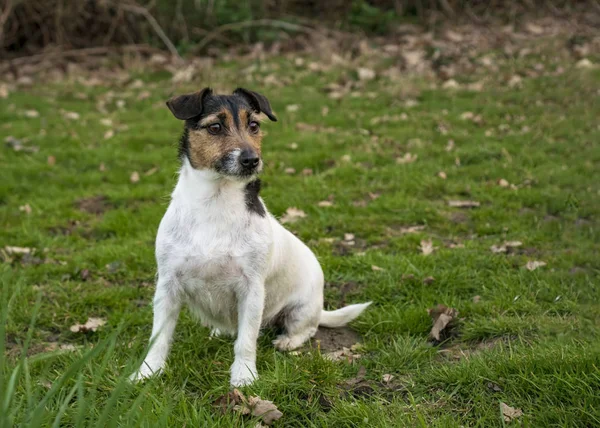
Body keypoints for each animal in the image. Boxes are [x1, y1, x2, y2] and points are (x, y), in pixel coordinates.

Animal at [132, 88, 370, 388]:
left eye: (254, 125)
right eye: (215, 127)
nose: (251, 160)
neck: (216, 202)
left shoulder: (252, 290)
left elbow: (246, 341)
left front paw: (244, 376)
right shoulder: (167, 286)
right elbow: (159, 338)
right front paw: (148, 372)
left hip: (301, 309)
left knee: (306, 329)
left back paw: (288, 341)